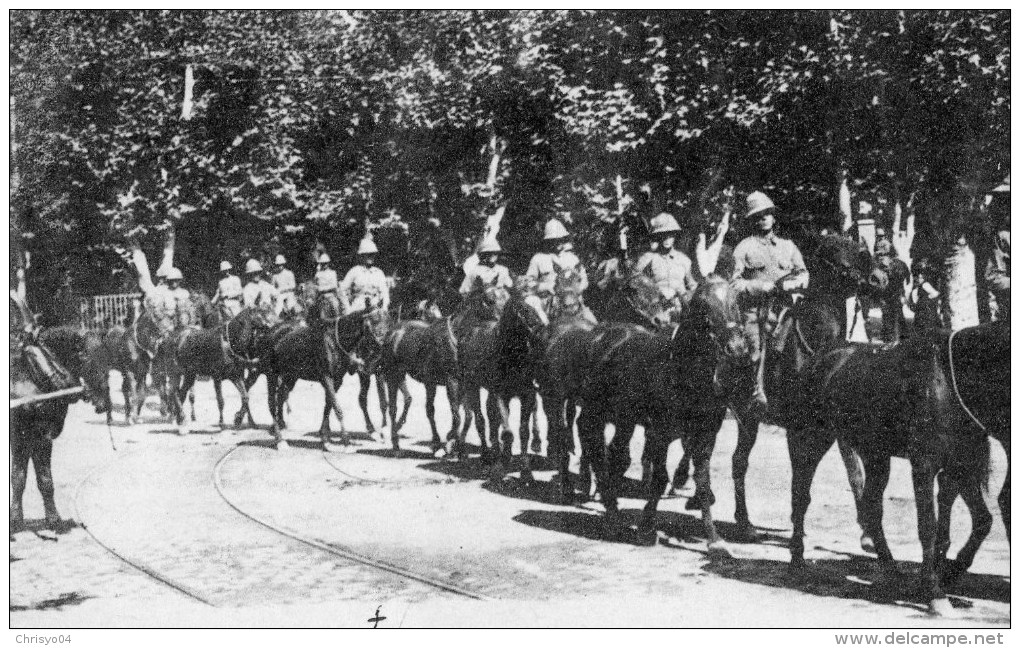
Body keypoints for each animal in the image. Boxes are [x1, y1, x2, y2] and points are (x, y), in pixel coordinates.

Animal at [267, 310, 379, 451]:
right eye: (375, 322)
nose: (379, 351)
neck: (334, 342)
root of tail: (272, 332)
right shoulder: (327, 378)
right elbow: (337, 408)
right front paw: (346, 441)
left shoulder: (337, 380)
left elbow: (329, 405)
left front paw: (325, 438)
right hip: (272, 375)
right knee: (272, 403)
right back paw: (280, 440)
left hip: (291, 376)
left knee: (281, 396)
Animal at [550, 275, 758, 551]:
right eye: (703, 304)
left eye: (736, 301)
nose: (736, 349)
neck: (682, 375)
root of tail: (594, 337)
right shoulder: (659, 432)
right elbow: (659, 480)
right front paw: (647, 529)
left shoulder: (705, 435)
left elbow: (702, 482)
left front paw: (715, 540)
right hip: (594, 411)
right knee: (593, 448)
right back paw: (606, 509)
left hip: (623, 418)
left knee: (614, 454)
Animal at [783, 322, 1007, 616]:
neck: (949, 381)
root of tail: (817, 358)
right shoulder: (924, 464)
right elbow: (928, 526)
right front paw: (934, 593)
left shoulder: (962, 462)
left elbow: (983, 520)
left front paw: (950, 573)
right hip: (809, 439)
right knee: (801, 495)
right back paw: (797, 559)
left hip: (875, 454)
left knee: (871, 507)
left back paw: (892, 571)